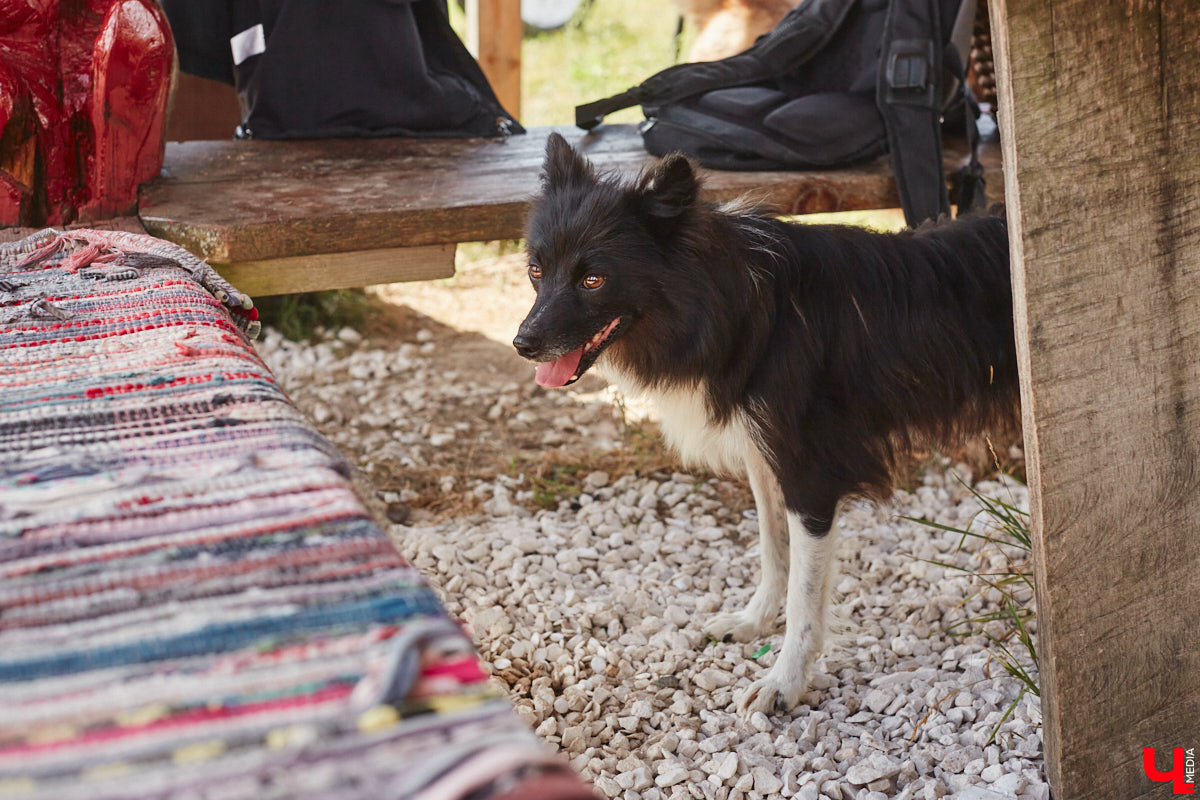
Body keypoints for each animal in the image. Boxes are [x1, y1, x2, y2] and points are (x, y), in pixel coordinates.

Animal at [511, 134, 1017, 714]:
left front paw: (785, 682)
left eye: (593, 279)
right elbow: (774, 550)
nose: (522, 344)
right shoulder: (763, 460)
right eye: (536, 270)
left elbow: (804, 591)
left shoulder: (810, 476)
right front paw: (754, 622)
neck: (735, 307)